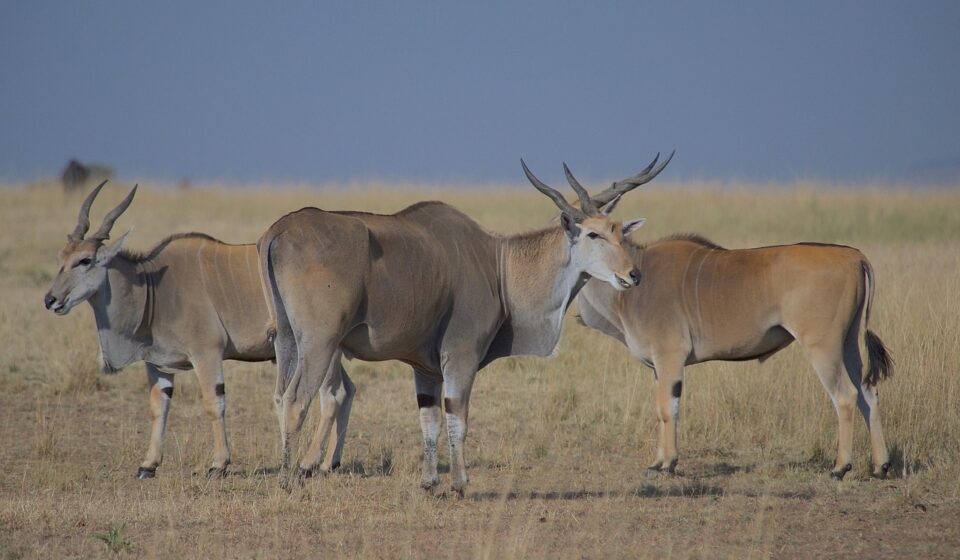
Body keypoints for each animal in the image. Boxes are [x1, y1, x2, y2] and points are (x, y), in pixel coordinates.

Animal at [44, 182, 356, 479]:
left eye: (85, 260)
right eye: (60, 258)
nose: (50, 300)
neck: (154, 287)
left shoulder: (207, 353)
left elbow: (213, 403)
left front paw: (219, 464)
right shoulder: (158, 363)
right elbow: (159, 406)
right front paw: (148, 465)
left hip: (322, 348)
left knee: (332, 397)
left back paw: (312, 464)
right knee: (347, 391)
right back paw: (329, 463)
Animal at [257, 155, 667, 494]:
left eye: (620, 231)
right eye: (593, 233)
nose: (633, 275)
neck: (499, 264)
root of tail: (280, 230)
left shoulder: (425, 369)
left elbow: (429, 419)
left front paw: (429, 482)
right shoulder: (461, 354)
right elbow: (458, 415)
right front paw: (459, 483)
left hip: (288, 340)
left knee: (279, 397)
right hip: (320, 342)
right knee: (296, 400)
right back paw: (289, 479)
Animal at [566, 163, 893, 480]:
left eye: (592, 232)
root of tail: (854, 256)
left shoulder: (670, 358)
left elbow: (668, 408)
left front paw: (668, 464)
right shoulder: (658, 366)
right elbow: (660, 409)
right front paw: (658, 462)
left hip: (823, 346)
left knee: (846, 396)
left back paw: (840, 467)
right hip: (848, 343)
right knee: (869, 394)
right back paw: (881, 466)